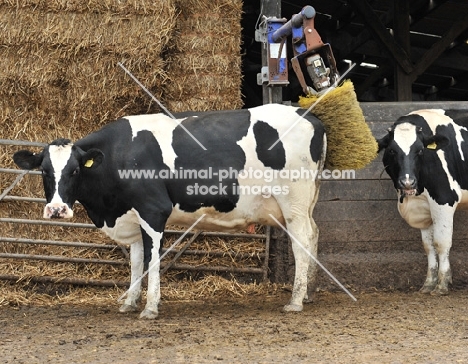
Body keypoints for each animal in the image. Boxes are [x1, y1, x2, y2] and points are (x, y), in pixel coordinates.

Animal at [11, 102, 326, 318]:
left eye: (75, 171)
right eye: (44, 171)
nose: (56, 210)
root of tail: (306, 114)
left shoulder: (153, 211)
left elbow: (152, 260)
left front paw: (150, 307)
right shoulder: (133, 217)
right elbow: (136, 261)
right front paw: (130, 302)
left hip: (294, 201)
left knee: (301, 242)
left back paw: (295, 301)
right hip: (306, 202)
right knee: (314, 234)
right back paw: (309, 294)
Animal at [374, 109, 468, 296]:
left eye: (419, 150)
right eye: (392, 150)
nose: (407, 182)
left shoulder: (444, 200)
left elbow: (441, 243)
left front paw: (442, 285)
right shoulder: (423, 209)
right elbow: (428, 246)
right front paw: (429, 283)